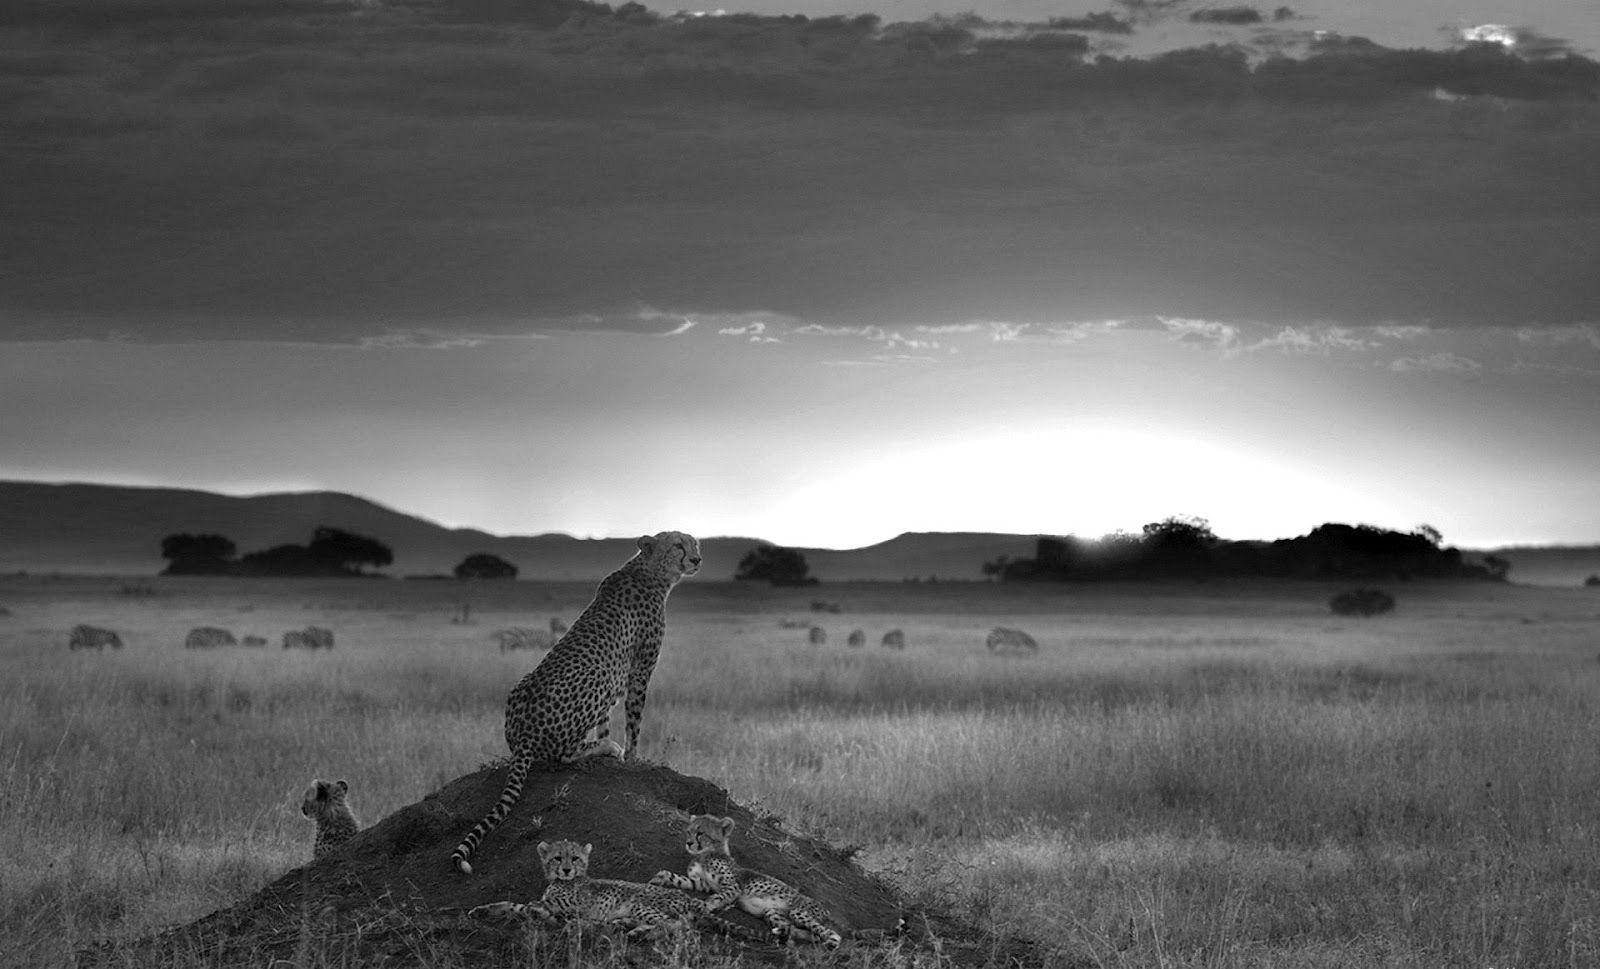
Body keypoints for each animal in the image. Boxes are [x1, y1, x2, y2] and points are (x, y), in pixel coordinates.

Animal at [451, 531, 701, 875]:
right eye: (678, 545)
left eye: (695, 543)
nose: (697, 559)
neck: (649, 571)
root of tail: (523, 735)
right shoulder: (639, 670)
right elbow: (634, 721)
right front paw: (634, 757)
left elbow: (606, 721)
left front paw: (612, 747)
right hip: (598, 675)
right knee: (563, 754)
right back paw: (606, 748)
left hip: (529, 684)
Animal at [651, 814, 842, 949]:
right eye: (688, 831)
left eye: (701, 833)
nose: (689, 843)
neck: (705, 854)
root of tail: (827, 911)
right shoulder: (702, 883)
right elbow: (681, 879)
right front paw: (661, 877)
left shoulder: (732, 886)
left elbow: (718, 897)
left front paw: (705, 905)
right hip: (773, 914)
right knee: (802, 932)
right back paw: (785, 937)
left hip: (799, 911)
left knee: (830, 932)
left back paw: (831, 942)